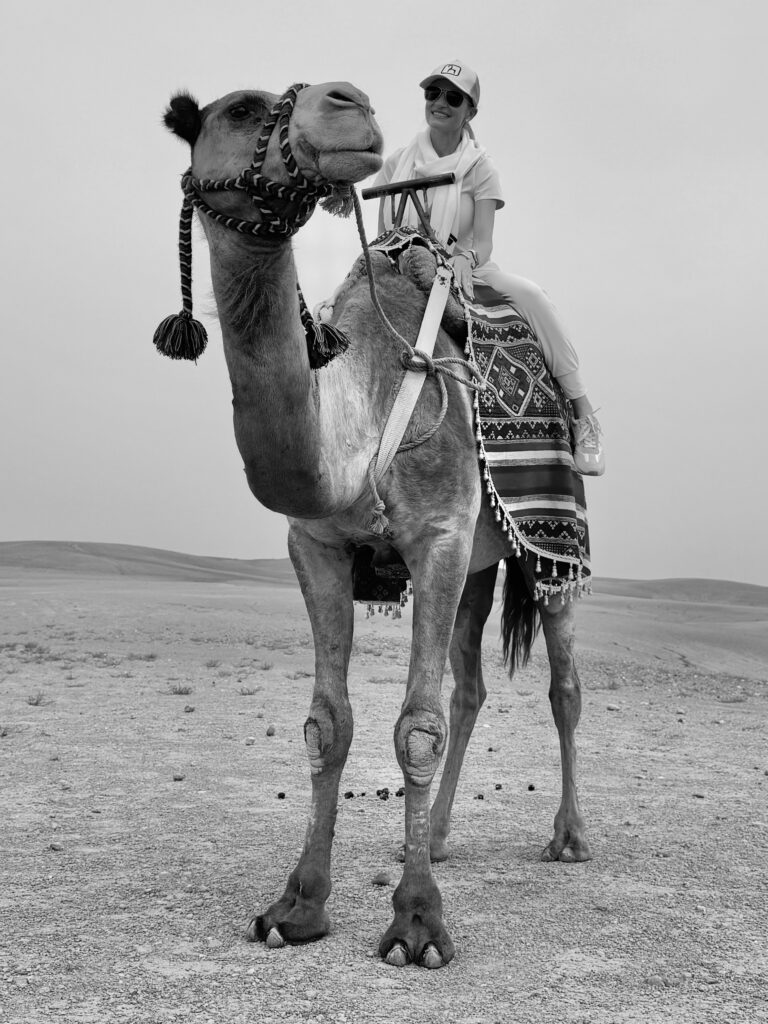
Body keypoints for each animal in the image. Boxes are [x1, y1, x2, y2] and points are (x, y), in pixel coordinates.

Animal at [157, 81, 591, 970]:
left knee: (561, 681)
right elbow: (329, 724)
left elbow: (416, 727)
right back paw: (441, 835)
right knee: (472, 685)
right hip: (479, 564)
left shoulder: (437, 537)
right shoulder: (318, 544)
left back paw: (568, 837)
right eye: (240, 109)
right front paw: (297, 906)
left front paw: (418, 924)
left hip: (545, 546)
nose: (347, 100)